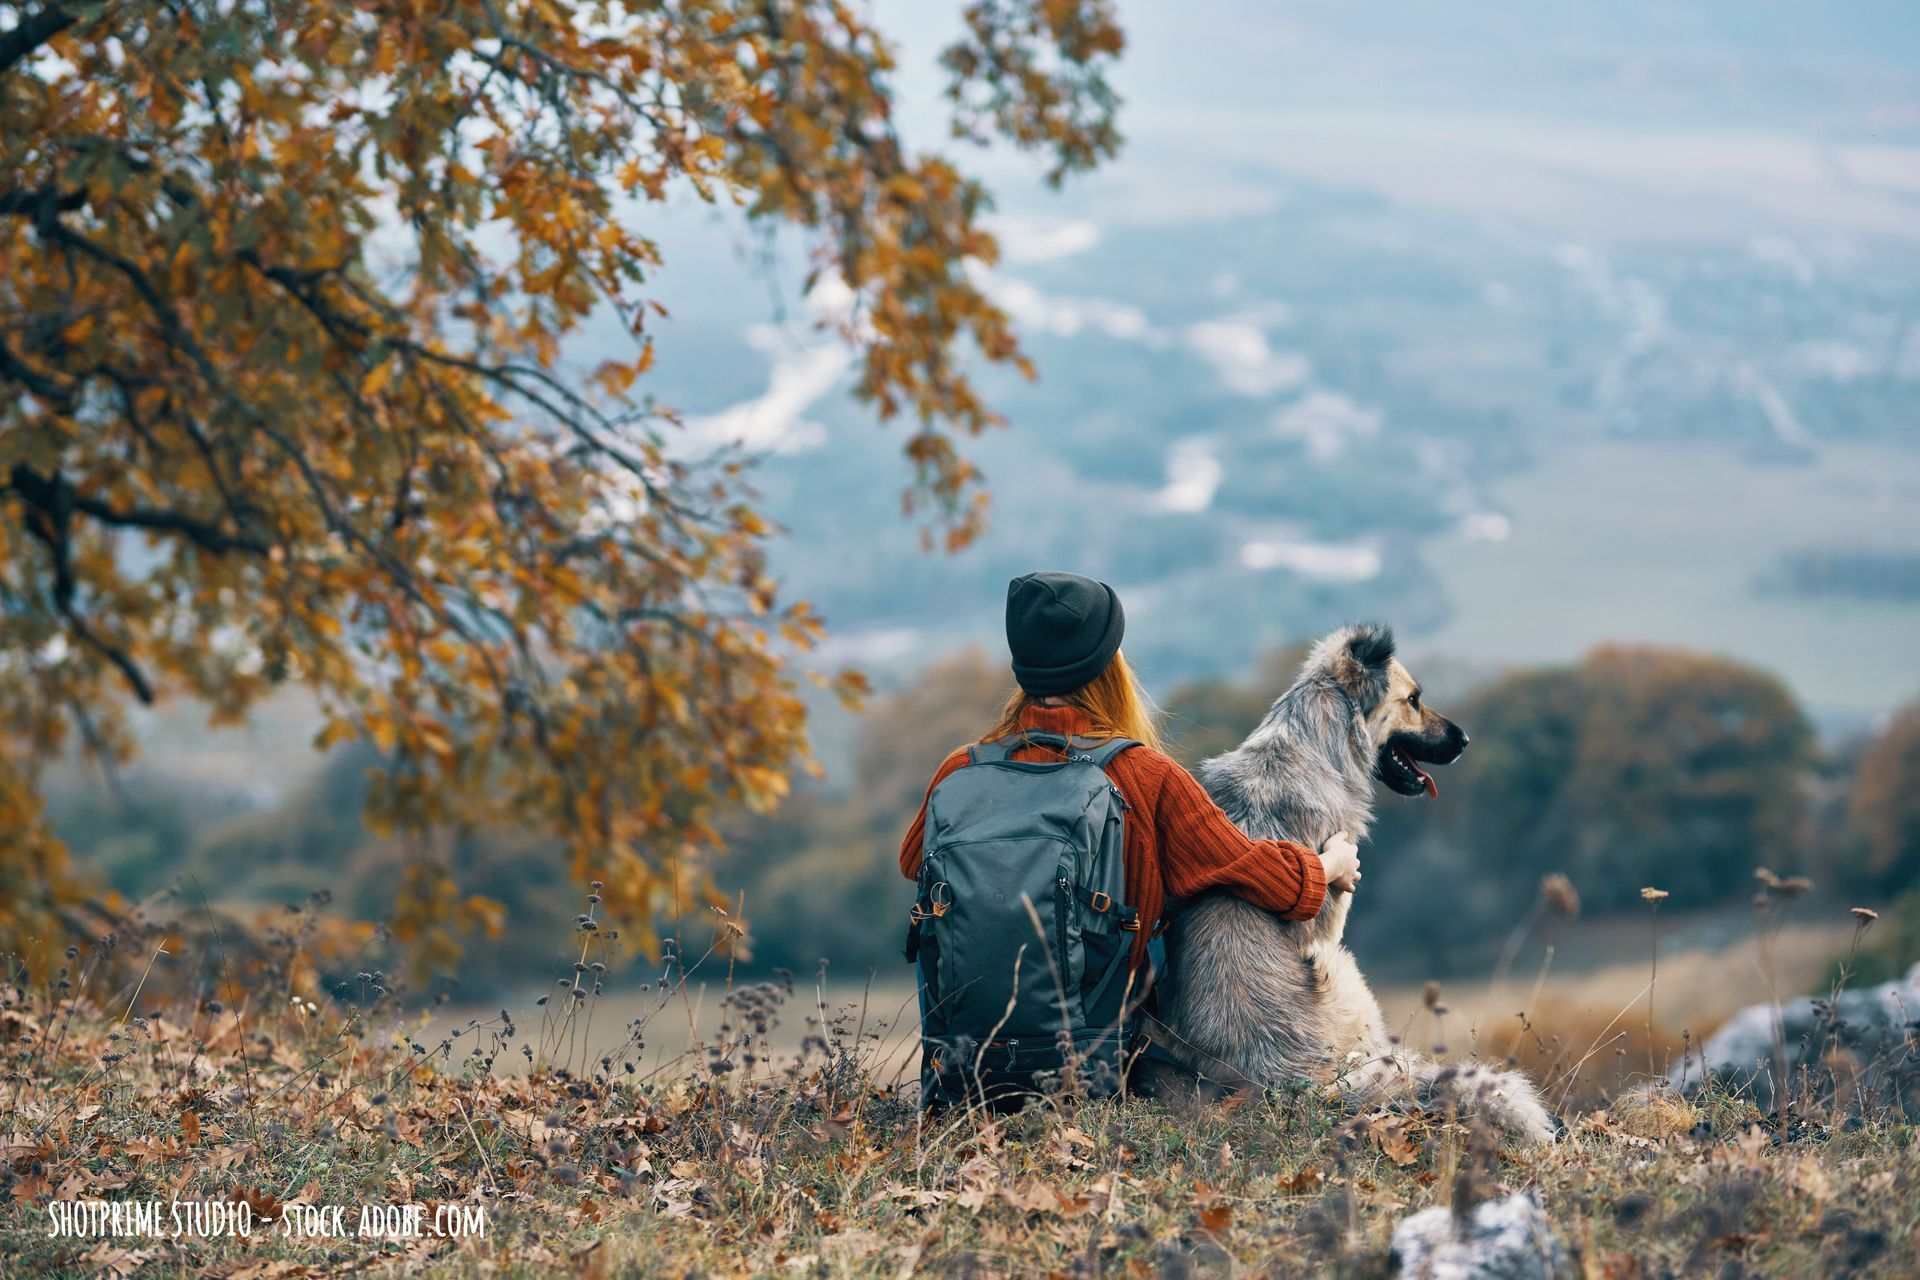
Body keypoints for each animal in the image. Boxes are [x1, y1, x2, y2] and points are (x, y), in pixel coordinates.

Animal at [1136, 625, 1559, 1143]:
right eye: (1414, 699)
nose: (1466, 740)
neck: (1314, 748)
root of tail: (1282, 1078)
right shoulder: (1331, 916)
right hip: (1342, 965)